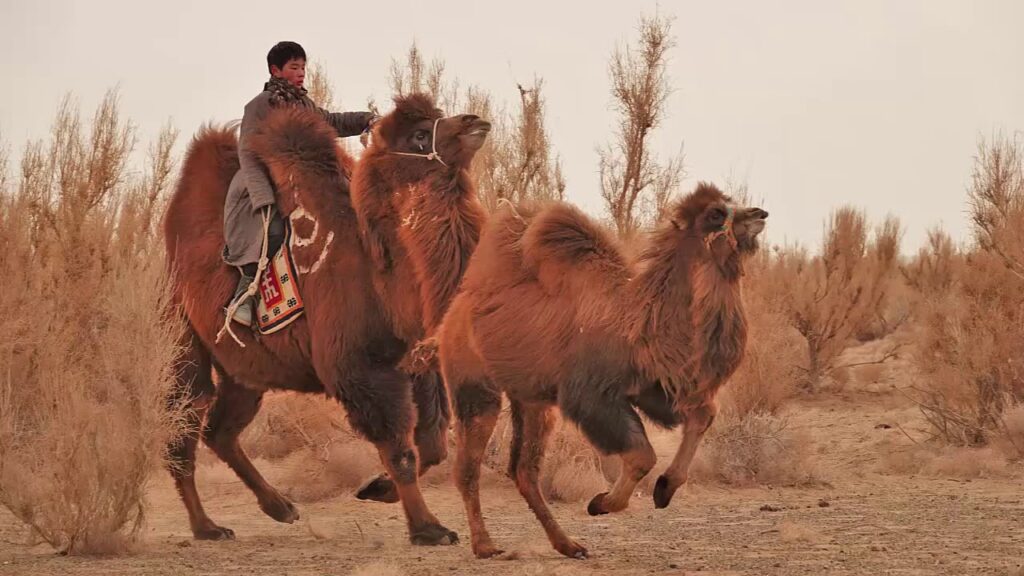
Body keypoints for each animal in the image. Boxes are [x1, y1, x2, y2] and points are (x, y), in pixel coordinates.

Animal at [162, 93, 487, 541]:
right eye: (420, 135)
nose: (474, 120)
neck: (385, 283)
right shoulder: (360, 370)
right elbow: (399, 449)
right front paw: (429, 529)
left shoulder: (416, 365)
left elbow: (434, 446)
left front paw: (376, 489)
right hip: (182, 335)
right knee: (185, 422)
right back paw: (207, 526)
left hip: (245, 369)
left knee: (221, 429)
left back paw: (280, 507)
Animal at [438, 184, 770, 557]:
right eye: (715, 212)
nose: (759, 213)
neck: (642, 322)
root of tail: (456, 310)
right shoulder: (592, 396)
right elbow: (642, 455)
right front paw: (601, 503)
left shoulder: (655, 388)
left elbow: (704, 414)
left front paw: (665, 488)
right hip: (475, 384)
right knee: (468, 466)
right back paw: (485, 545)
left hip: (534, 401)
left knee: (523, 471)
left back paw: (568, 545)